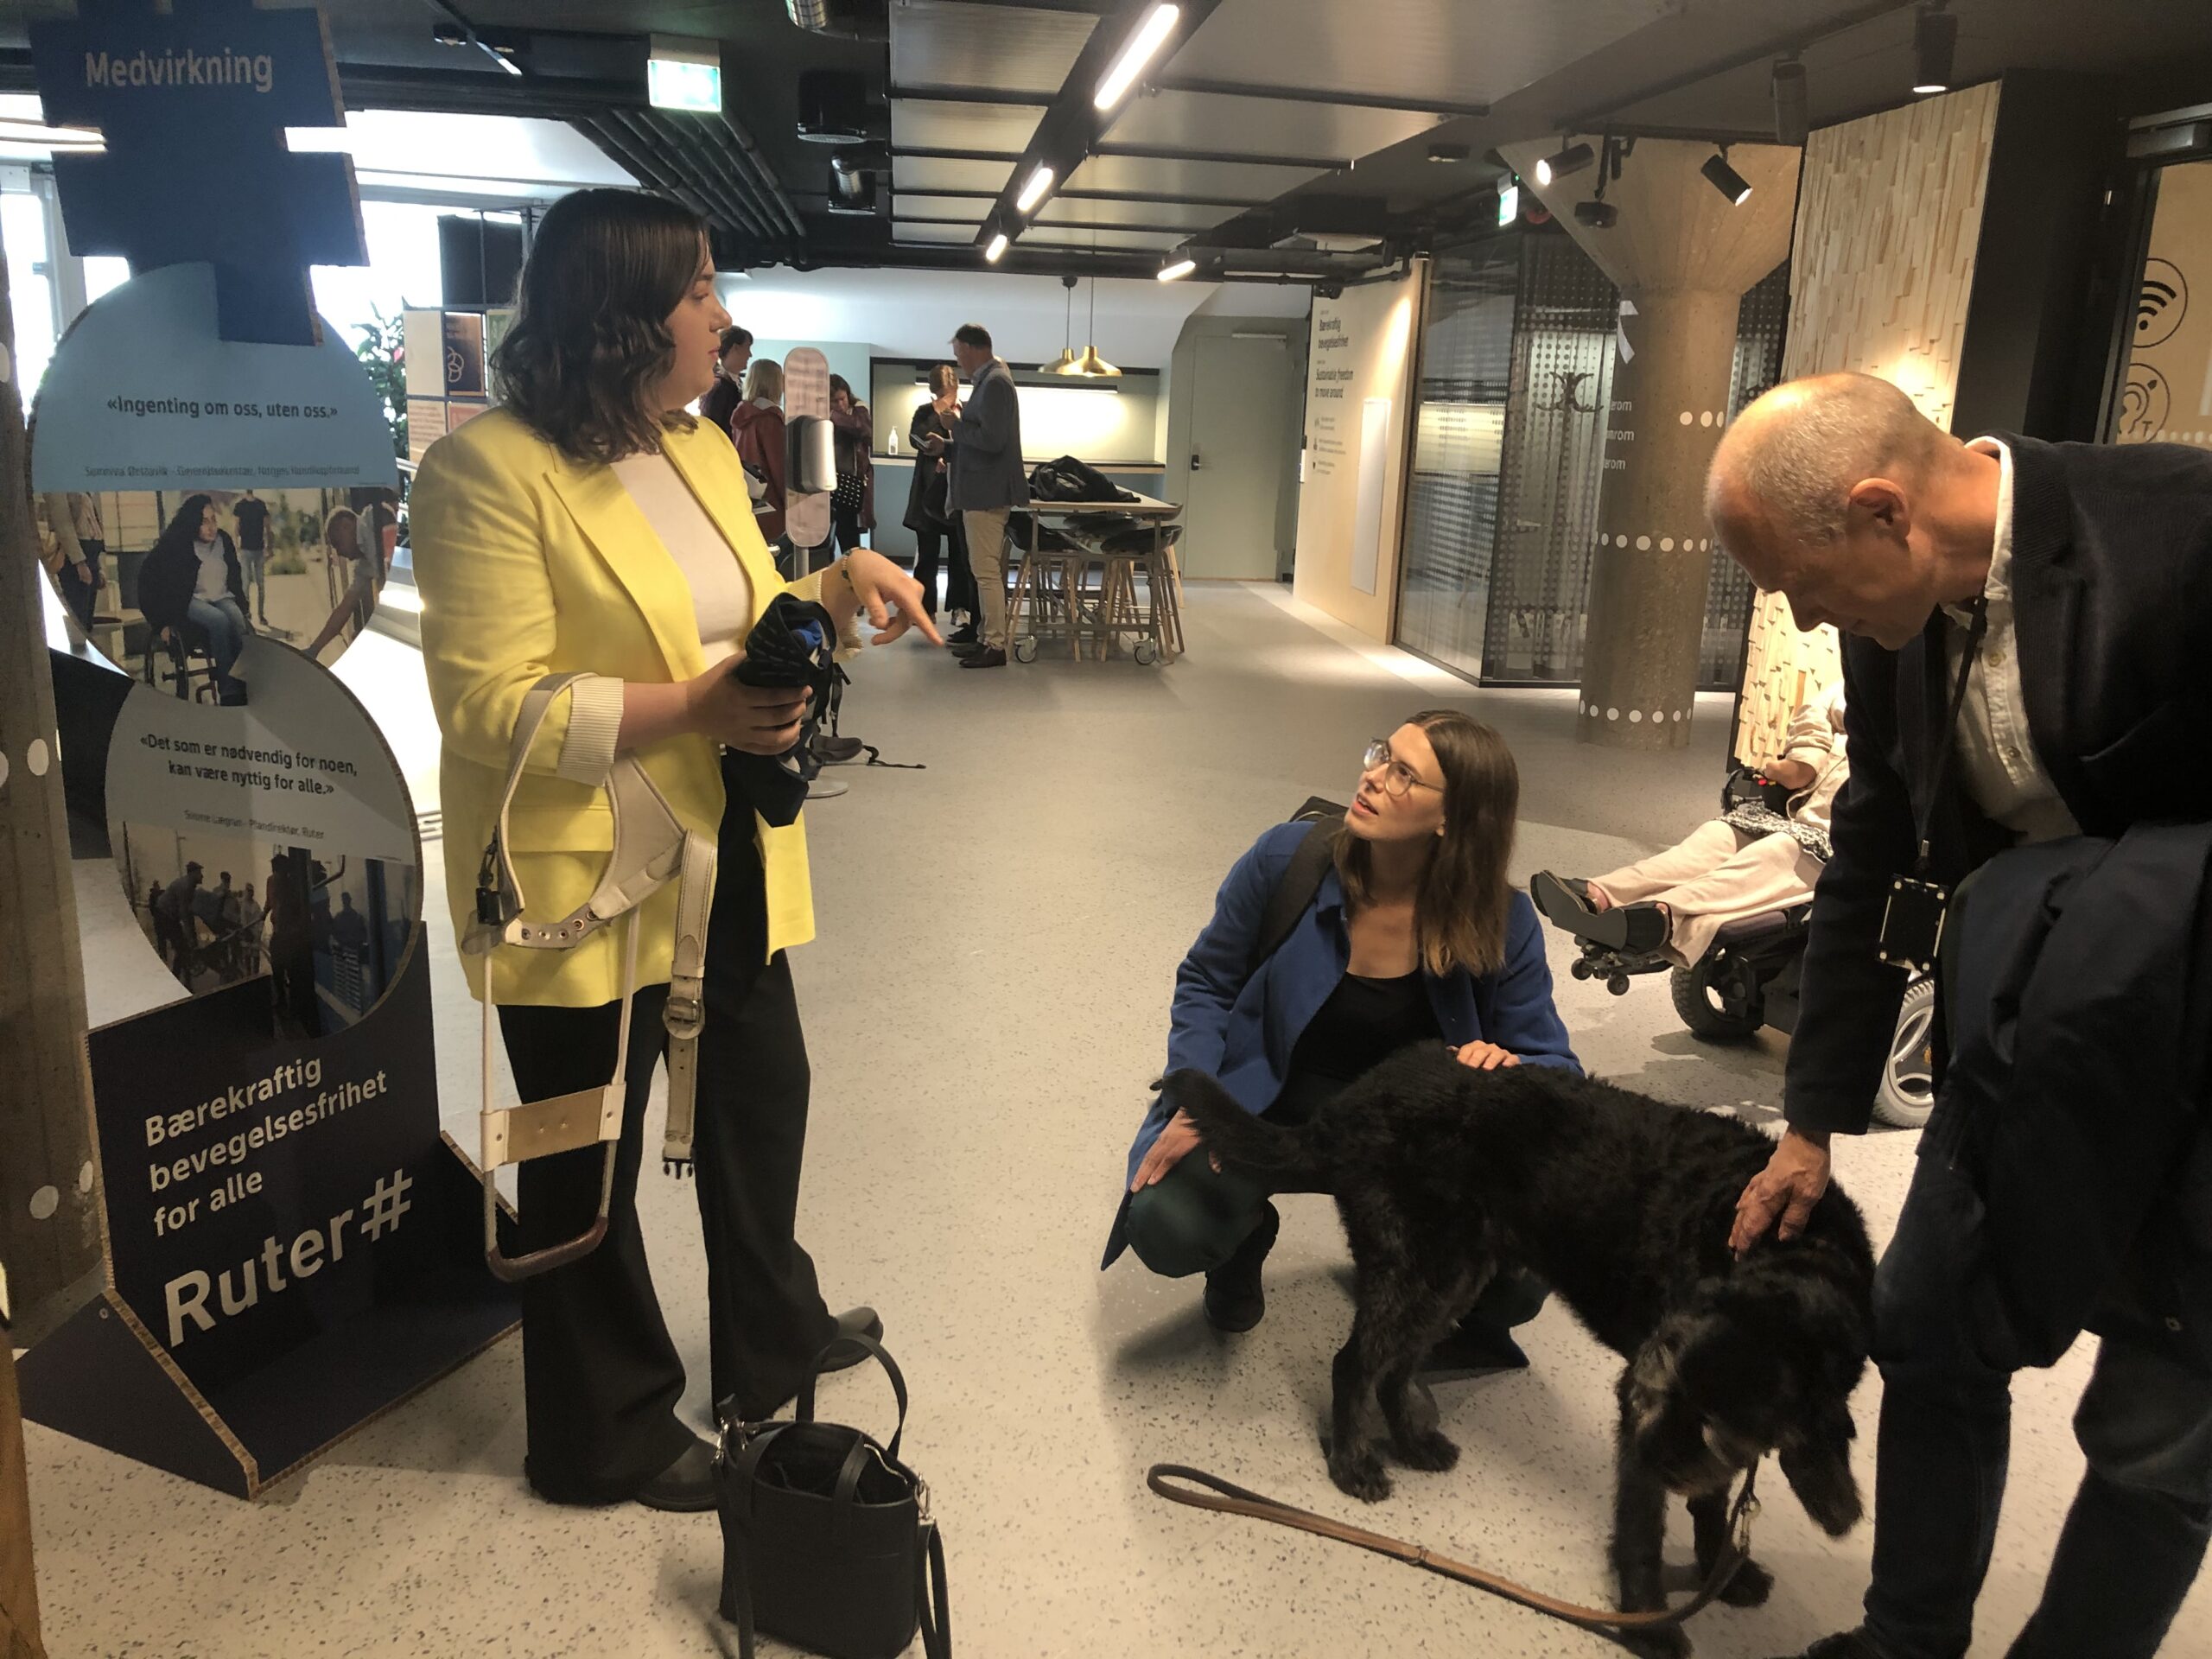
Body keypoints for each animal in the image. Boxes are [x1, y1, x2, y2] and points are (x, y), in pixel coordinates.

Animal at [1167, 1052, 1875, 1654]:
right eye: (1658, 1387)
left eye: (1717, 1421)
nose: (1638, 1460)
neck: (1792, 1250)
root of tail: (1352, 1101)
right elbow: (1643, 1531)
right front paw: (1650, 1622)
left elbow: (1709, 1501)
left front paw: (1720, 1571)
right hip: (1418, 1263)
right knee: (1356, 1364)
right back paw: (1353, 1464)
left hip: (1458, 1271)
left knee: (1398, 1366)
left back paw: (1413, 1444)